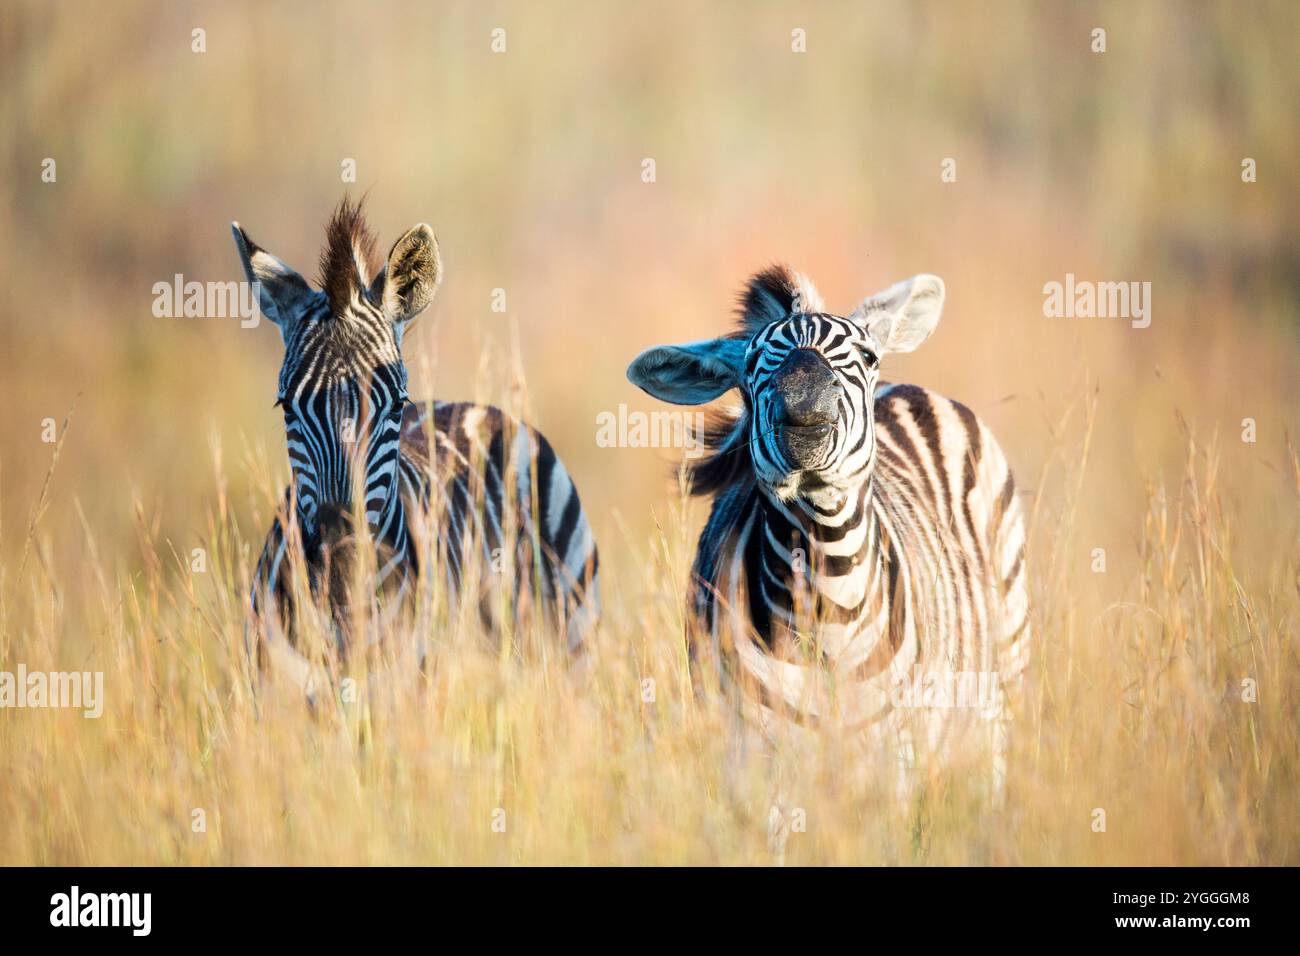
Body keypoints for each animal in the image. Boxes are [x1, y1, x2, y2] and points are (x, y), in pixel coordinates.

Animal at [627, 266, 1029, 800]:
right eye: (752, 362)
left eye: (867, 356)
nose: (805, 415)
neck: (827, 594)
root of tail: (899, 387)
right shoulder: (754, 754)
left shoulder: (895, 755)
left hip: (1004, 673)